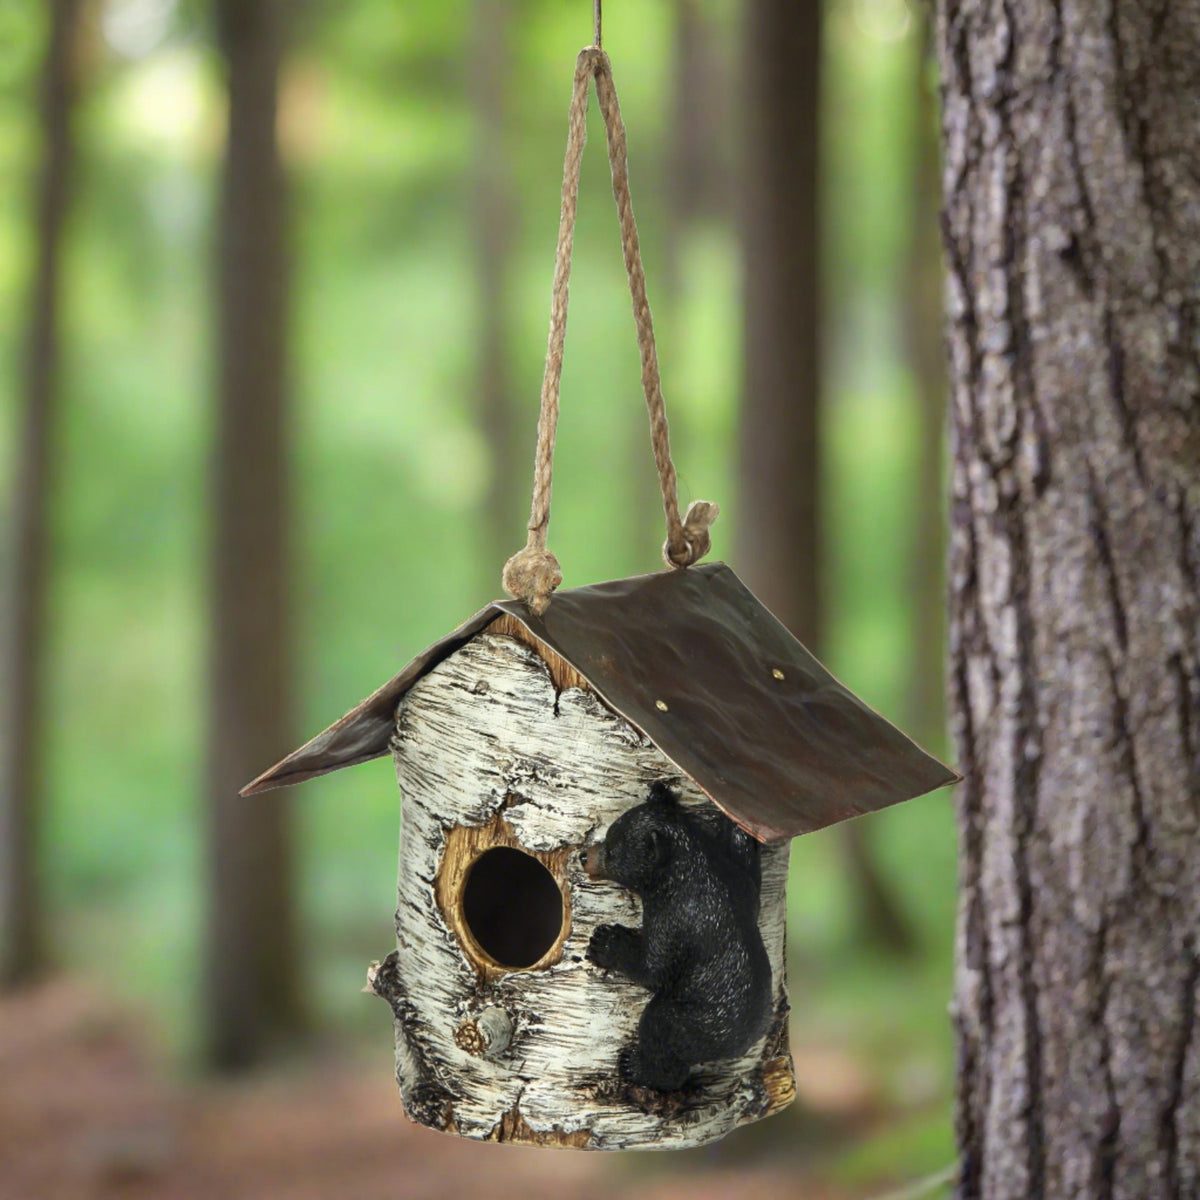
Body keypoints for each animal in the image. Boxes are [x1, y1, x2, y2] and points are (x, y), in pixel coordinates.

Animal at [581, 781, 773, 1092]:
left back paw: (638, 1068)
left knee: (660, 1029)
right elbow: (749, 870)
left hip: (695, 1021)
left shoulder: (675, 916)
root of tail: (741, 1043)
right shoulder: (740, 883)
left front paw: (606, 942)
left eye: (611, 852)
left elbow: (656, 969)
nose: (584, 857)